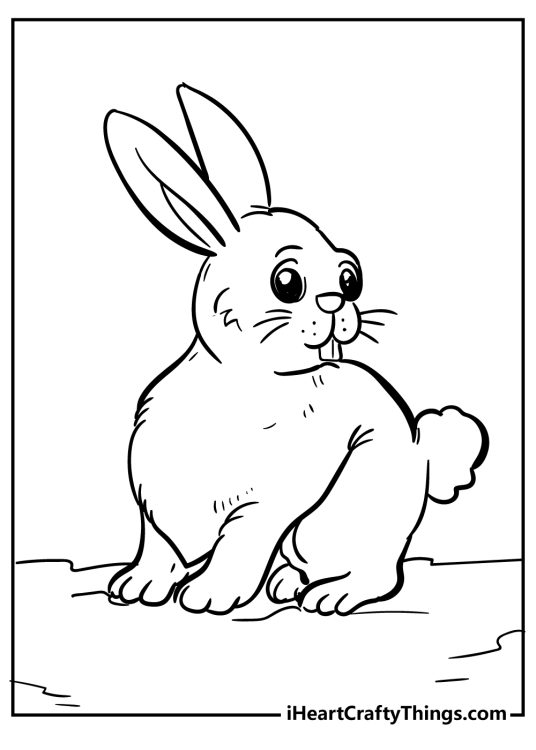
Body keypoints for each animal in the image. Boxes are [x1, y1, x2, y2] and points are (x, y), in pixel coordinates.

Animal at [104, 83, 488, 615]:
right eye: (287, 282)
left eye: (350, 277)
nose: (338, 301)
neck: (244, 381)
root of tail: (422, 456)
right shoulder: (152, 499)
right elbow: (156, 546)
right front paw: (137, 586)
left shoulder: (262, 507)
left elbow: (237, 545)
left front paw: (210, 595)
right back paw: (286, 584)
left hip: (336, 516)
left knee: (377, 572)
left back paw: (333, 595)